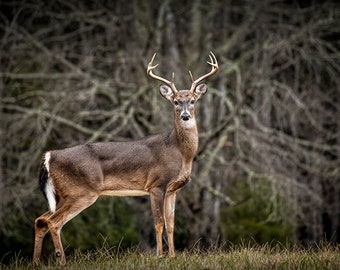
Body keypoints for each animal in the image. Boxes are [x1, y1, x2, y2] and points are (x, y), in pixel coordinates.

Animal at [31, 51, 218, 264]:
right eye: (176, 101)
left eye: (193, 100)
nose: (185, 116)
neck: (180, 152)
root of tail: (49, 155)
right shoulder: (156, 184)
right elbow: (158, 223)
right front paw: (160, 256)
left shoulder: (173, 189)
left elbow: (171, 224)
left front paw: (172, 256)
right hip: (80, 191)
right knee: (53, 222)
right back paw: (61, 260)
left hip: (63, 194)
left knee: (41, 220)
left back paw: (36, 262)